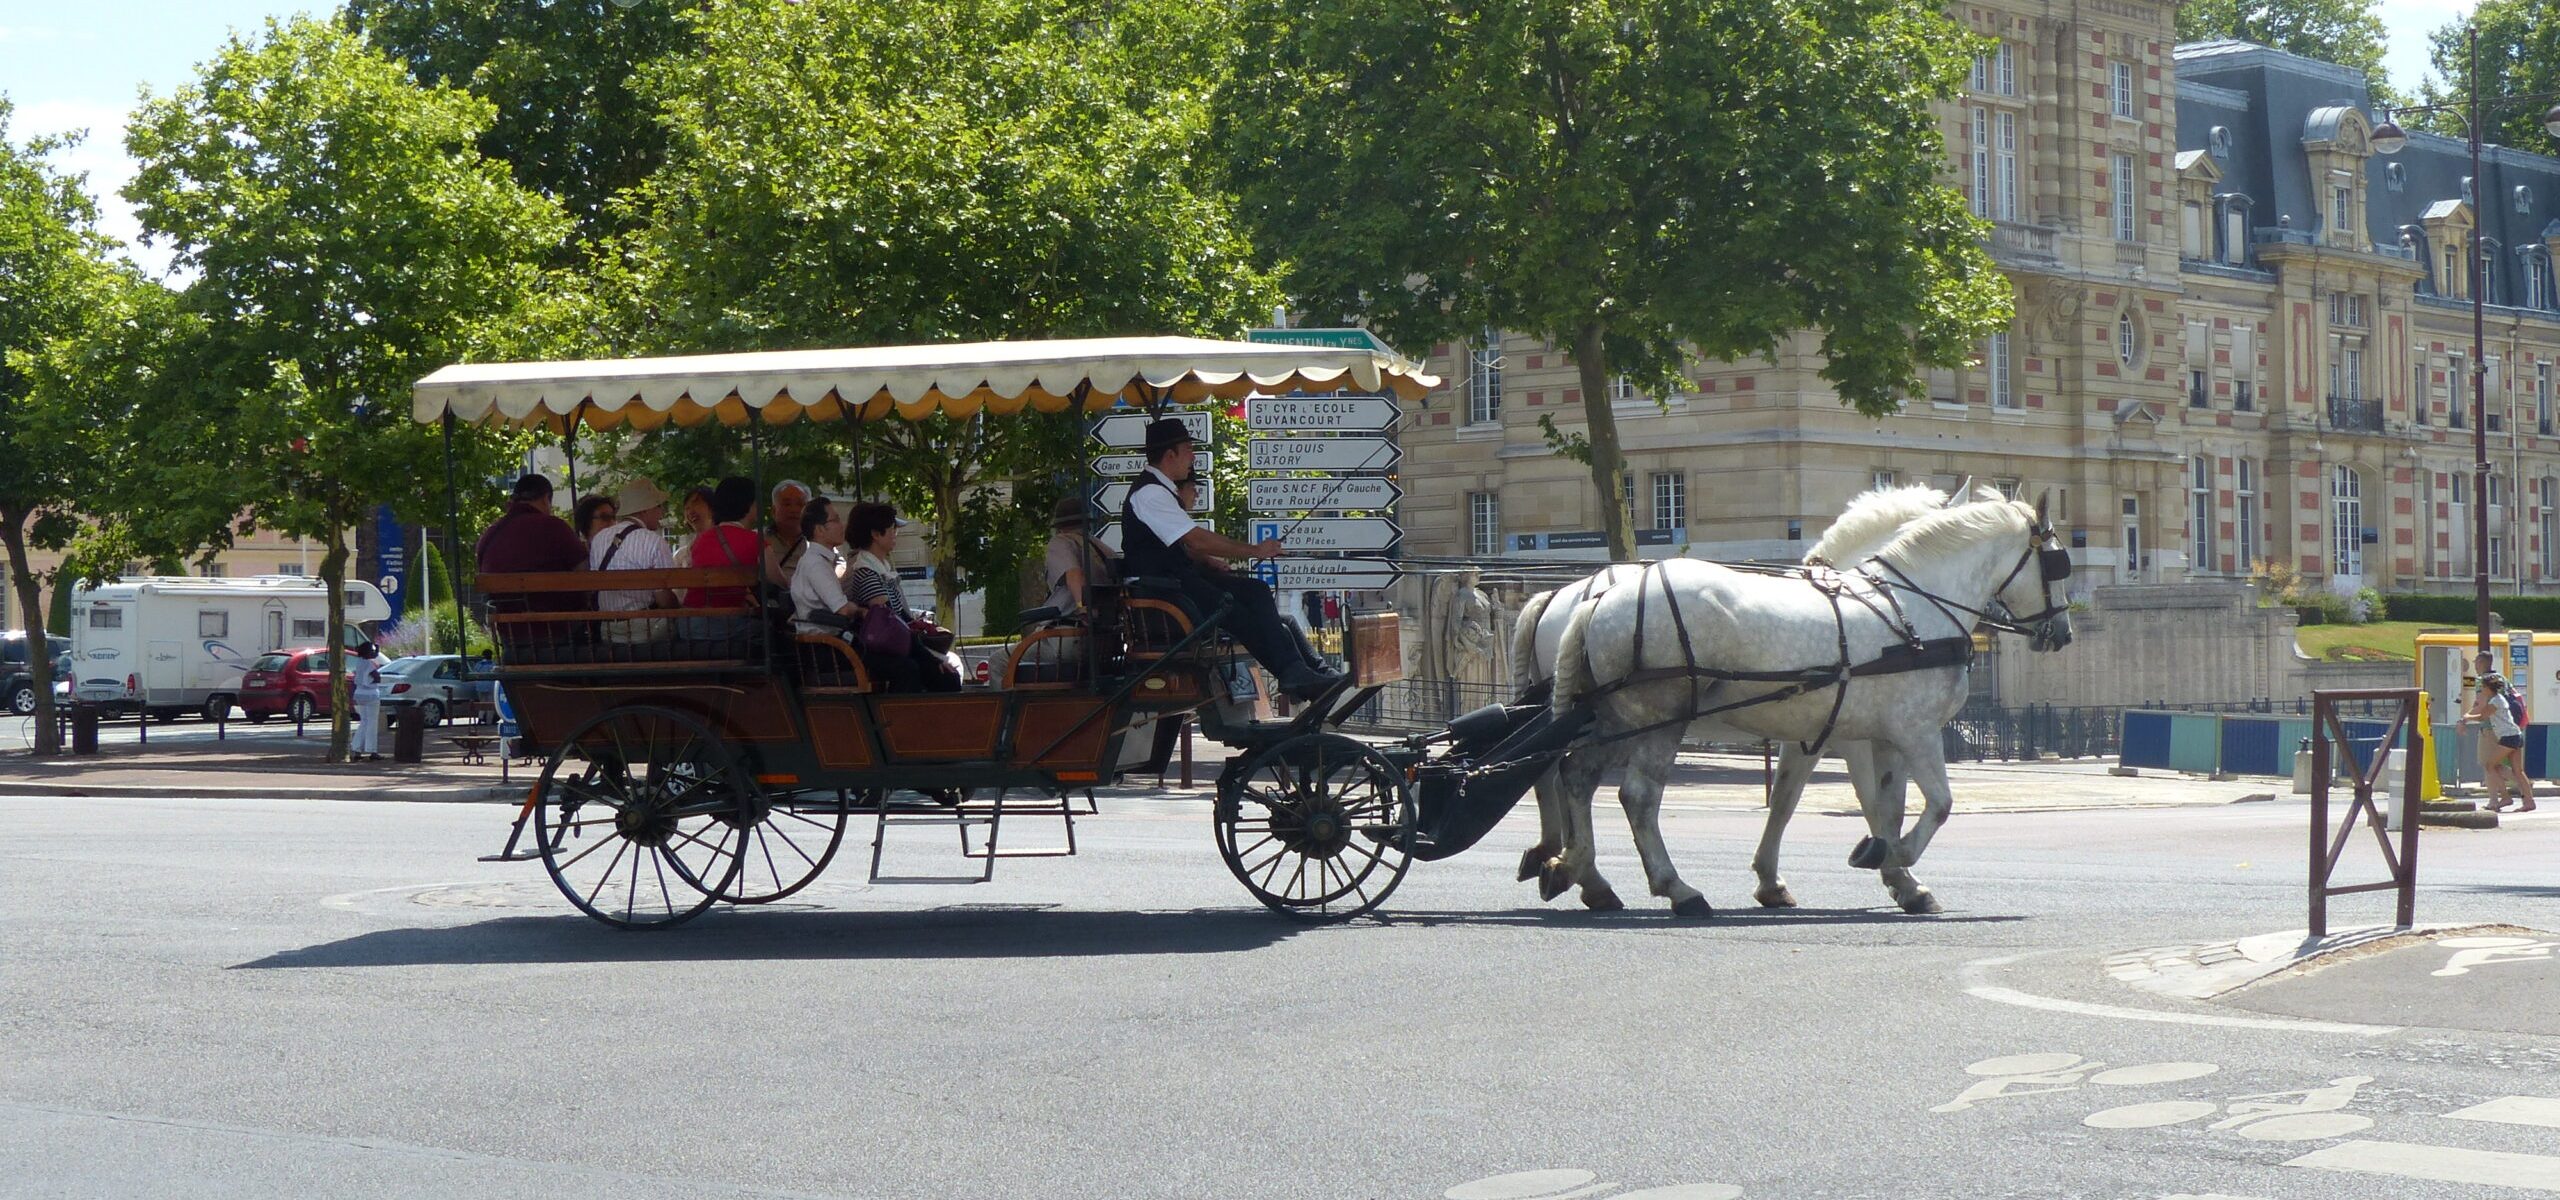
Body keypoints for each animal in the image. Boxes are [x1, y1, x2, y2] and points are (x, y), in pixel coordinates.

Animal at [1536, 491, 2058, 910]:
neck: (1910, 609)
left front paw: (1891, 872)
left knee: (1575, 777)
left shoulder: (1865, 736)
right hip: (1659, 719)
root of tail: (1597, 599)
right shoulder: (1913, 732)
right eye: (2057, 561)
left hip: (1615, 719)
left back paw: (1577, 869)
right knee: (1636, 796)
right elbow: (1935, 804)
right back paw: (1675, 888)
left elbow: (1856, 804)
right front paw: (1896, 859)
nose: (2062, 631)